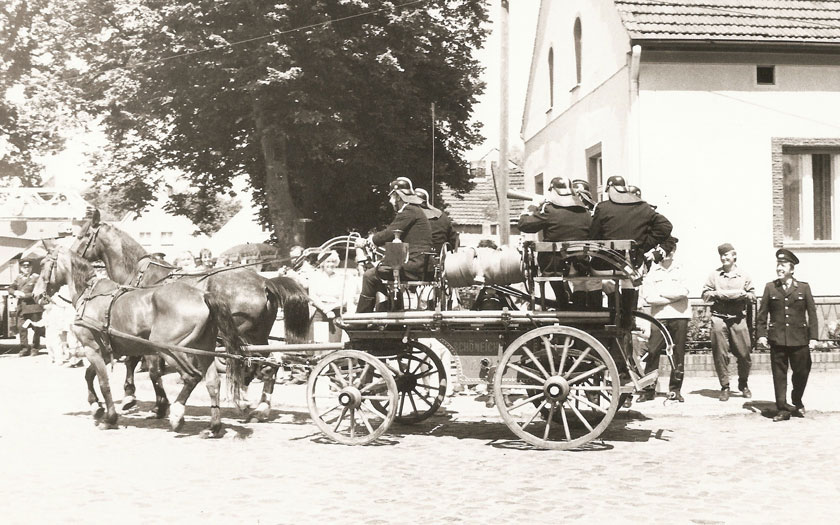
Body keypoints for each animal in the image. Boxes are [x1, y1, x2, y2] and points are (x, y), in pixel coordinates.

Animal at [36, 245, 246, 434]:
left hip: (169, 349)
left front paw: (110, 417)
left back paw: (177, 415)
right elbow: (89, 375)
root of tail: (202, 294)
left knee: (191, 377)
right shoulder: (106, 352)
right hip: (203, 348)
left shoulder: (92, 349)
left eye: (44, 263)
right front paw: (96, 406)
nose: (36, 294)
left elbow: (104, 383)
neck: (90, 295)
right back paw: (213, 426)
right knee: (212, 382)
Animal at [70, 211, 310, 420]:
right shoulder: (136, 335)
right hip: (258, 335)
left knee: (251, 366)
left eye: (81, 236)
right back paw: (260, 407)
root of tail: (265, 282)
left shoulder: (144, 336)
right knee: (268, 365)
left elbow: (148, 368)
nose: (69, 254)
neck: (142, 275)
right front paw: (146, 400)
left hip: (240, 335)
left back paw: (245, 401)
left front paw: (148, 401)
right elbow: (137, 362)